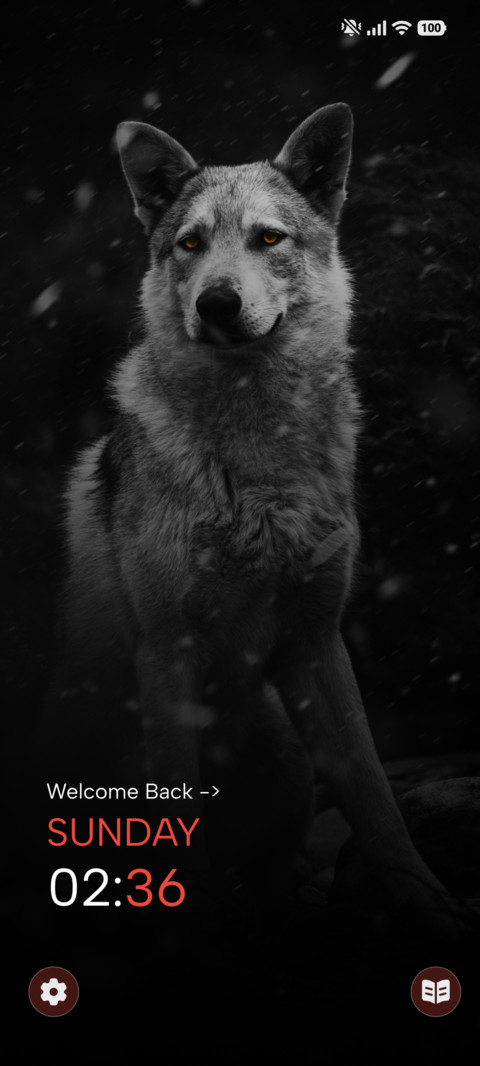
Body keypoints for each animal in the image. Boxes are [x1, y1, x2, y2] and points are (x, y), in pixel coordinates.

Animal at [51, 104, 457, 921]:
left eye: (269, 238)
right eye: (191, 244)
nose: (217, 302)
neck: (256, 463)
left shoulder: (316, 644)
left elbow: (375, 794)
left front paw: (426, 899)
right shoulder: (167, 654)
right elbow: (173, 809)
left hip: (288, 759)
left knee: (279, 872)